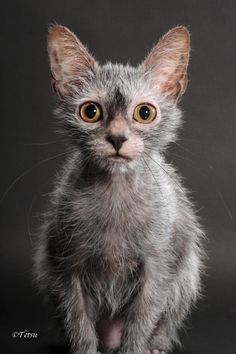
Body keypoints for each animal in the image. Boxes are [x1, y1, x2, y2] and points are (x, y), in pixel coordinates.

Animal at [33, 24, 205, 354]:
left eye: (145, 113)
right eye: (90, 112)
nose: (116, 137)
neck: (115, 191)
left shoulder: (157, 267)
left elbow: (141, 320)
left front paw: (136, 348)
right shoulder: (65, 267)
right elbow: (78, 322)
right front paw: (84, 349)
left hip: (186, 276)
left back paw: (155, 347)